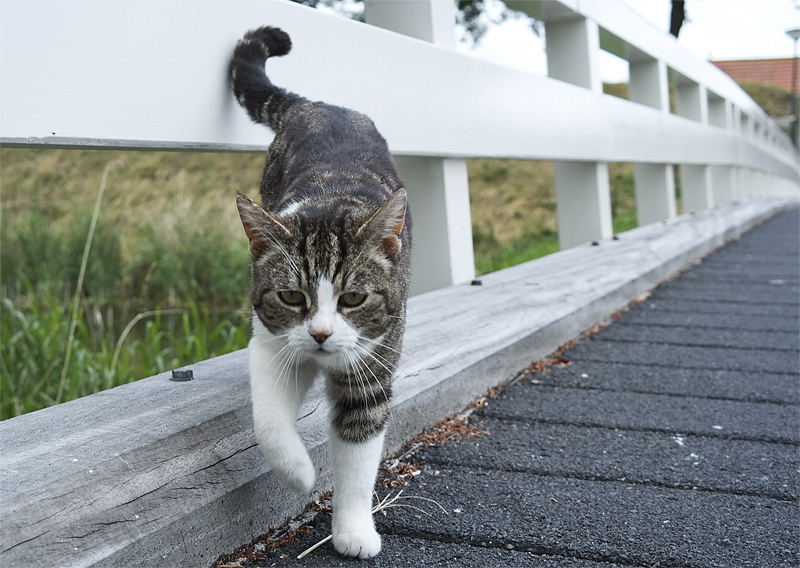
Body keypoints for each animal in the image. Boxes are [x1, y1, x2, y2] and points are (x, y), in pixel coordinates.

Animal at [227, 26, 410, 560]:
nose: (322, 335)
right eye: (292, 298)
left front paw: (353, 530)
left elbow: (359, 451)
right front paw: (299, 474)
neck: (329, 202)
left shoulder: (373, 364)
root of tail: (318, 104)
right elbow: (268, 422)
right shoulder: (271, 345)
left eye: (353, 299)